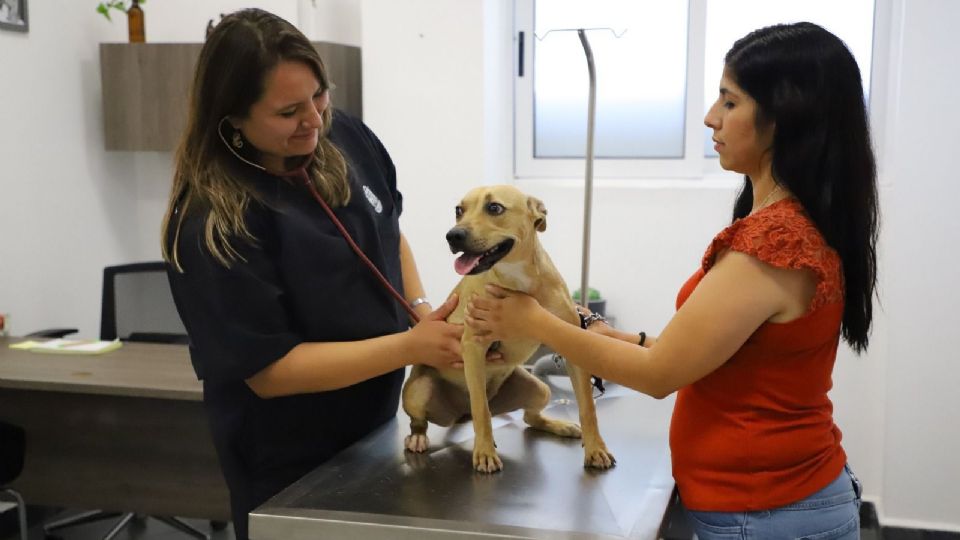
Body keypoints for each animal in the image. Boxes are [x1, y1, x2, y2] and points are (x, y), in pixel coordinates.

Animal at [400, 186, 616, 472]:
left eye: (495, 208)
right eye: (458, 210)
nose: (453, 235)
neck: (516, 278)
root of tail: (460, 414)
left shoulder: (573, 346)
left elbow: (588, 408)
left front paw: (596, 448)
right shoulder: (473, 347)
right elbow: (481, 410)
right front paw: (484, 452)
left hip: (540, 389)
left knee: (530, 418)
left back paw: (559, 425)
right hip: (419, 391)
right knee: (429, 418)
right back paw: (418, 438)